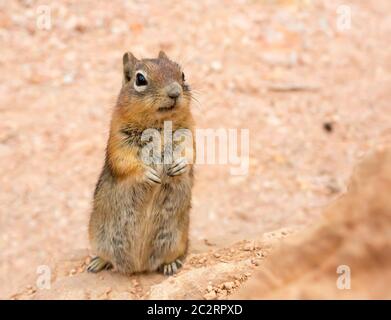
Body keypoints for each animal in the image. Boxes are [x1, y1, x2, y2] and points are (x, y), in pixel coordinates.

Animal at [87, 51, 194, 276]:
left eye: (182, 74)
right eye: (140, 79)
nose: (175, 92)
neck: (159, 123)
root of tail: (139, 266)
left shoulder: (188, 131)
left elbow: (191, 151)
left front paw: (180, 165)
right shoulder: (119, 138)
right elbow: (123, 161)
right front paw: (148, 174)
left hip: (177, 239)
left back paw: (170, 265)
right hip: (97, 236)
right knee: (106, 255)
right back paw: (97, 263)